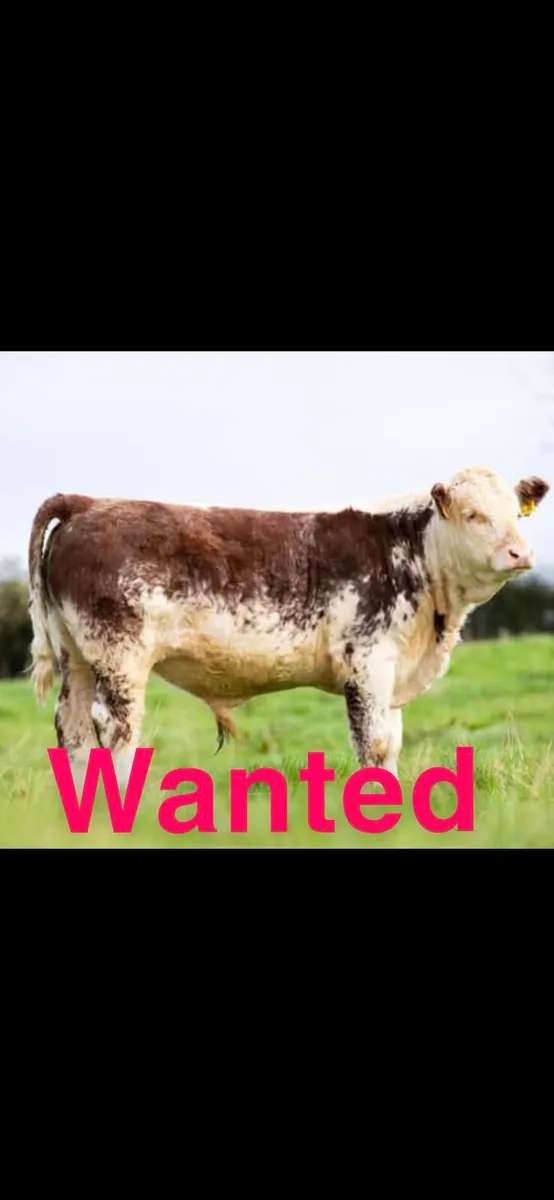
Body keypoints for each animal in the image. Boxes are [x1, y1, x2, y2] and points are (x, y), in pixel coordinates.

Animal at [28, 466, 550, 790]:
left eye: (515, 512)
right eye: (473, 514)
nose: (520, 553)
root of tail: (89, 503)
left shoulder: (394, 669)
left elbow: (392, 744)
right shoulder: (367, 661)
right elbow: (374, 743)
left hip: (76, 656)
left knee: (72, 730)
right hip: (120, 655)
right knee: (114, 730)